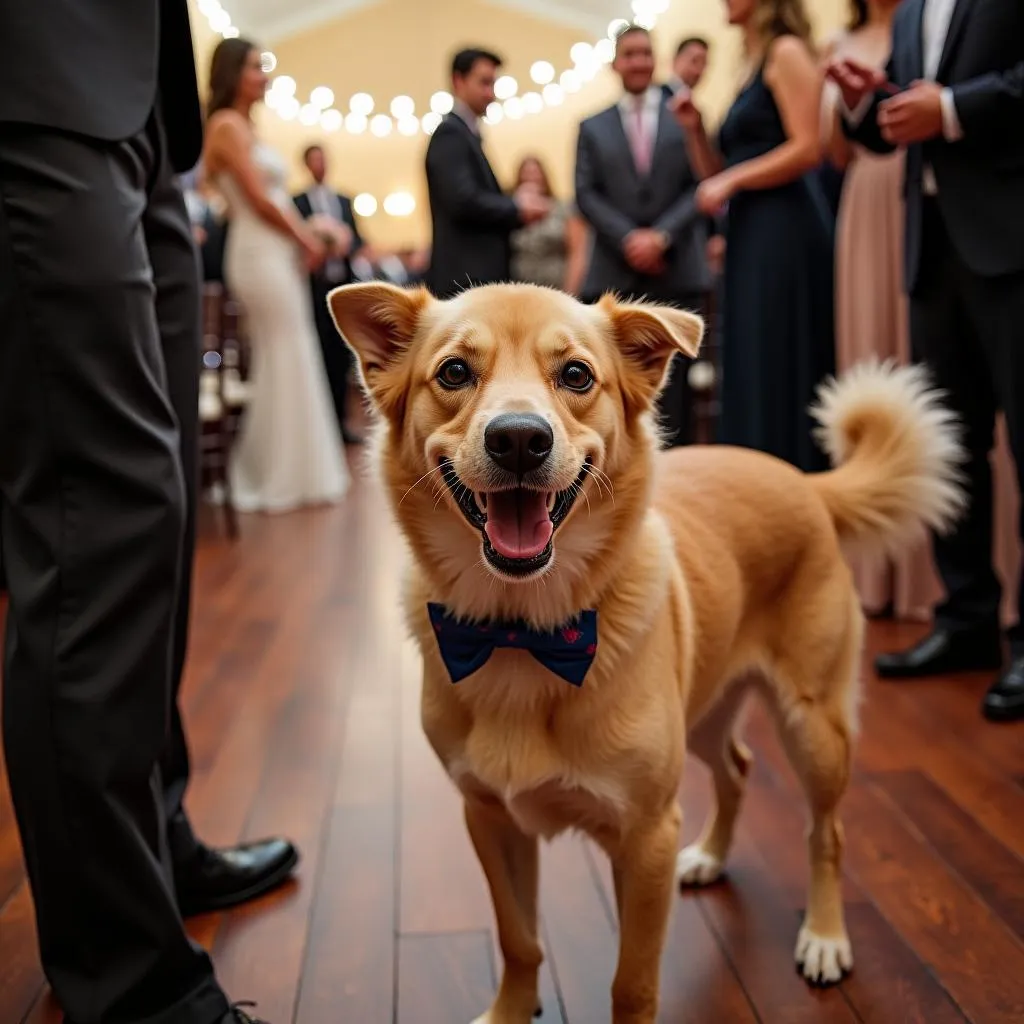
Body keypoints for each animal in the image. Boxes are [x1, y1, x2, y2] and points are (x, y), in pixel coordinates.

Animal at [329, 280, 966, 1024]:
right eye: (454, 372)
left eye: (577, 375)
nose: (519, 439)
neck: (522, 630)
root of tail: (804, 480)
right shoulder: (490, 819)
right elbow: (518, 939)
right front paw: (511, 1009)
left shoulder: (646, 839)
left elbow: (631, 984)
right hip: (707, 710)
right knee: (738, 768)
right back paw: (712, 857)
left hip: (813, 726)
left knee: (826, 834)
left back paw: (826, 937)